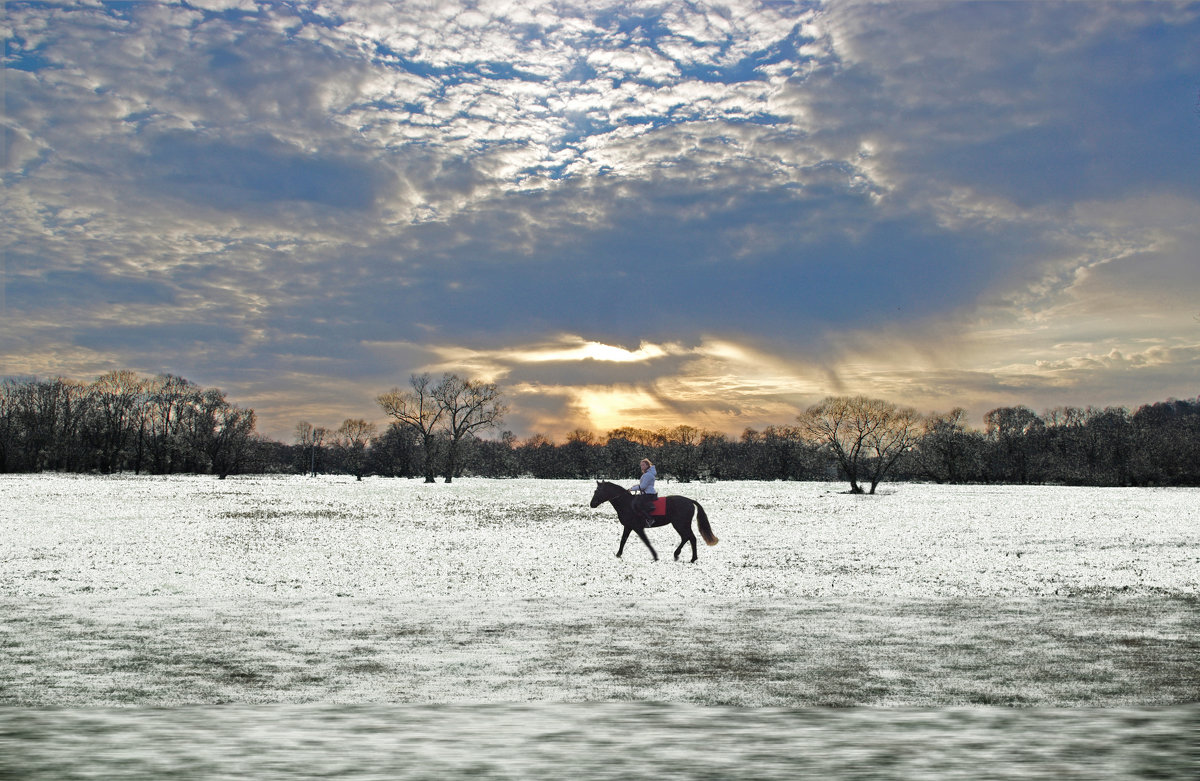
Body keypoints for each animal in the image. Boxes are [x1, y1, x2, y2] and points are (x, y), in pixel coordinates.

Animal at [585, 482, 715, 561]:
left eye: (597, 491)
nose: (592, 504)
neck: (626, 503)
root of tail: (690, 501)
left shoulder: (637, 528)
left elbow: (646, 542)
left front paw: (655, 556)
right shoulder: (628, 527)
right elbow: (623, 540)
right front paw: (618, 554)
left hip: (680, 524)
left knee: (690, 537)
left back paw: (690, 558)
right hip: (681, 525)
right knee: (687, 538)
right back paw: (681, 555)